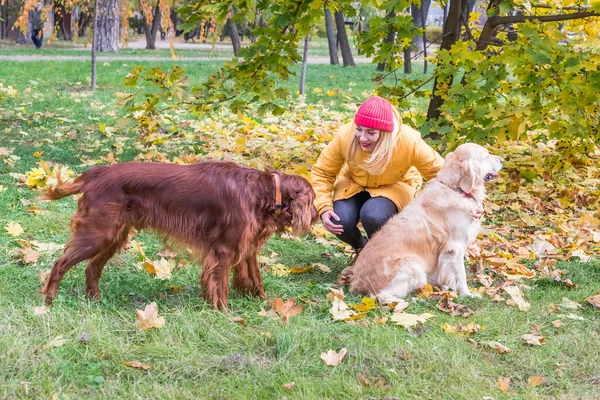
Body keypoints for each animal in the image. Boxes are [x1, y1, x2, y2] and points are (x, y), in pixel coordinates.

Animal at [39, 161, 316, 308]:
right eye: (313, 200)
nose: (315, 217)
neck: (263, 191)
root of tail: (95, 173)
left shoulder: (246, 248)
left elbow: (256, 279)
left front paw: (268, 305)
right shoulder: (224, 250)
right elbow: (221, 285)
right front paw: (224, 312)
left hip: (113, 237)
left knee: (91, 268)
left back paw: (95, 300)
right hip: (98, 234)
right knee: (60, 263)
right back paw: (49, 300)